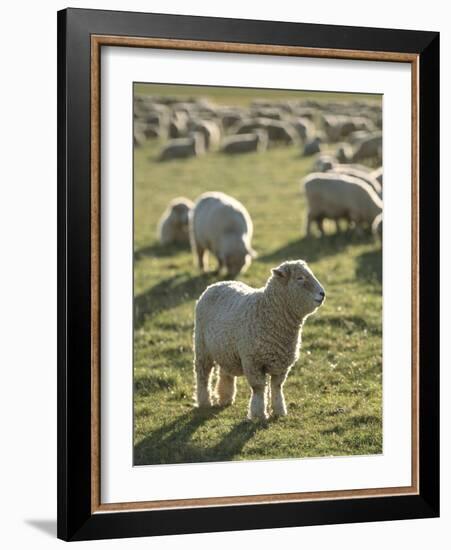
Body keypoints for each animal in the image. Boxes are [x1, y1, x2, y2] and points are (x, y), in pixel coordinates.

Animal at [192, 260, 326, 420]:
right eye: (300, 278)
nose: (322, 294)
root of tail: (216, 284)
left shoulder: (281, 364)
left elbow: (276, 387)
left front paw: (279, 411)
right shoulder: (253, 361)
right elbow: (259, 388)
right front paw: (258, 414)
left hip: (225, 349)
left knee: (225, 373)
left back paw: (225, 398)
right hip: (202, 346)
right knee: (203, 374)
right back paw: (204, 402)